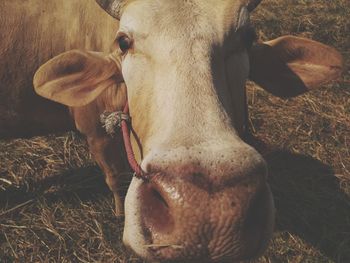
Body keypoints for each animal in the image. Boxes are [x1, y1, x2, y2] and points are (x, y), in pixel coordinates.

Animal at [1, 0, 344, 263]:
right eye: (123, 42)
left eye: (247, 37)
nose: (204, 212)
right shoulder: (94, 132)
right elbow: (113, 177)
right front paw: (118, 211)